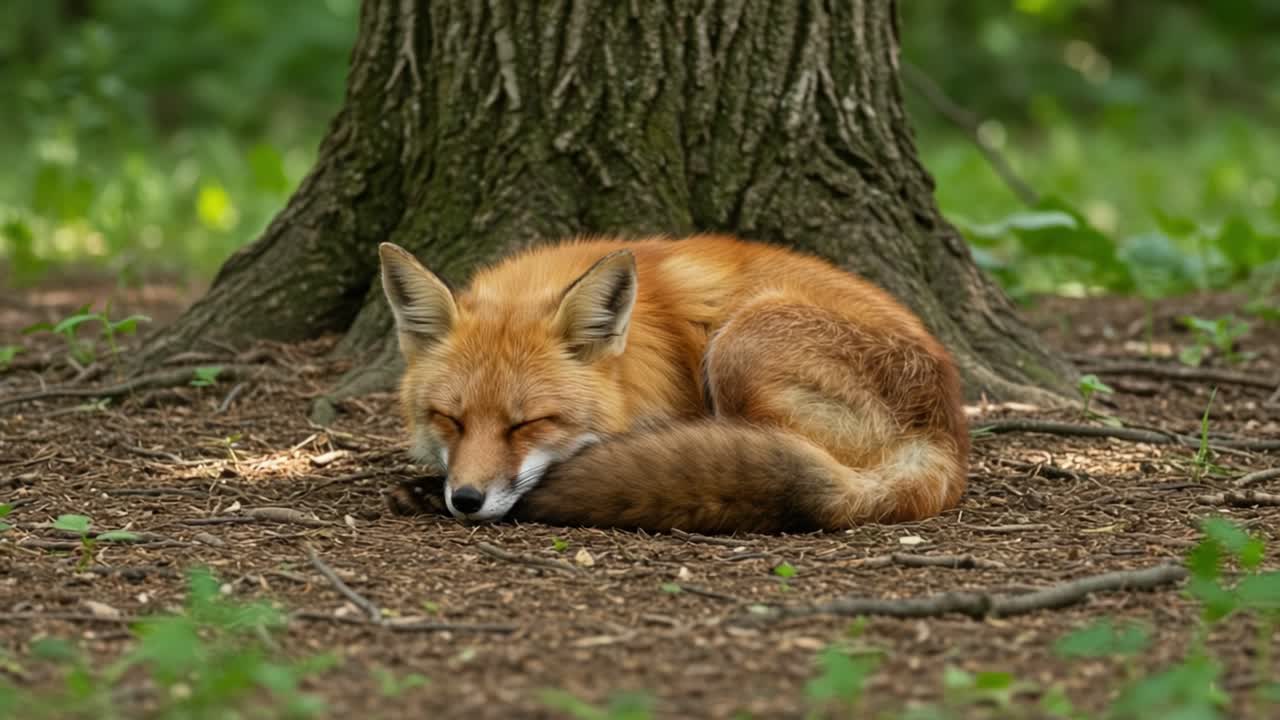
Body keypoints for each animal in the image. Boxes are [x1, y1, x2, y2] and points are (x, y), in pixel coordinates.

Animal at [378, 234, 968, 534]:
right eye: (449, 419)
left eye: (528, 424)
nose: (466, 500)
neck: (646, 342)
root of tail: (945, 429)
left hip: (740, 345)